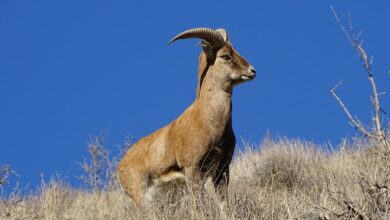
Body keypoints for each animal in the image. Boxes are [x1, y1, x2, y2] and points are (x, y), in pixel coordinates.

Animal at [117, 27, 256, 206]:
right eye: (225, 56)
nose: (252, 71)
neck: (207, 121)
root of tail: (120, 167)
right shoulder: (192, 170)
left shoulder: (222, 170)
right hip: (143, 198)